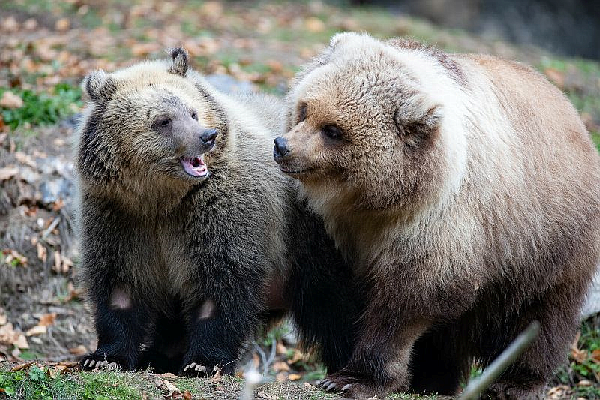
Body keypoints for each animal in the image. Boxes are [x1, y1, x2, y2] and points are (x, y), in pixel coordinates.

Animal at [72, 49, 358, 376]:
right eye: (163, 120)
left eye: (193, 112)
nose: (207, 135)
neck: (161, 200)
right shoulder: (119, 215)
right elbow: (120, 284)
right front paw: (105, 356)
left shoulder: (220, 211)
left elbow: (220, 281)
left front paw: (203, 362)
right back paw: (158, 355)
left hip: (311, 245)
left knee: (334, 308)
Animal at [276, 32, 600, 400]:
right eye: (305, 108)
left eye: (333, 130)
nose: (282, 146)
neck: (374, 202)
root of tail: (571, 111)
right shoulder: (327, 228)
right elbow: (329, 294)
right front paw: (342, 364)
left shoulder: (441, 222)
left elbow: (410, 299)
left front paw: (355, 378)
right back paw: (434, 380)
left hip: (543, 243)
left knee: (538, 317)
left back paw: (514, 382)